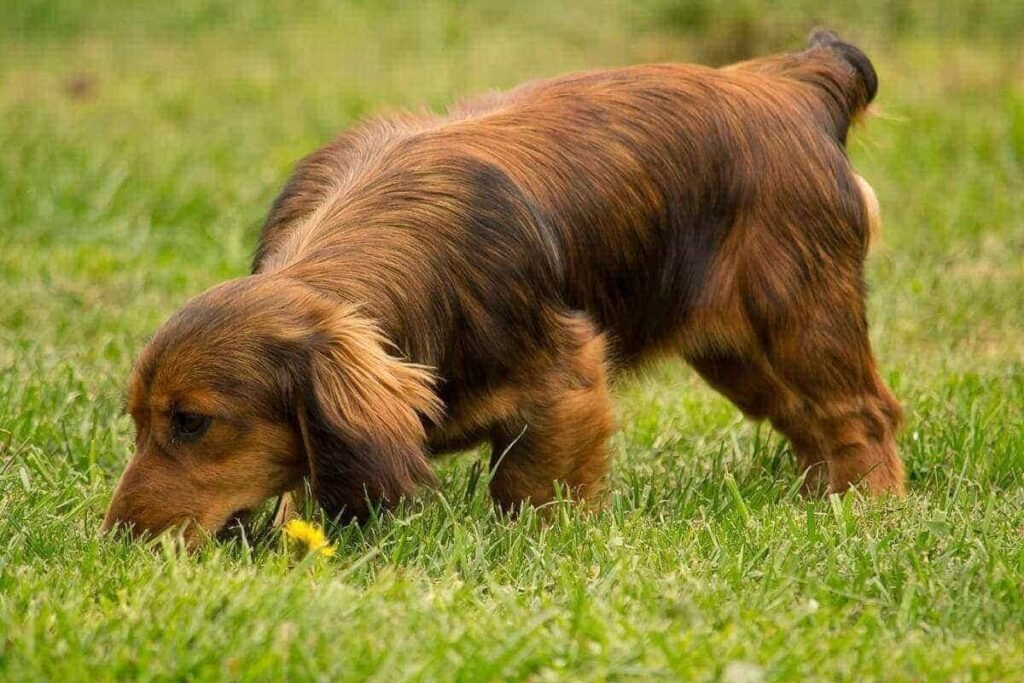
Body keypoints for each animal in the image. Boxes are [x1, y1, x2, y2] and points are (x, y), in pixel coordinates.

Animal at [101, 29, 905, 548]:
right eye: (137, 420)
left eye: (193, 422)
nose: (116, 542)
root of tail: (795, 80)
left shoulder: (565, 382)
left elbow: (525, 489)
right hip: (737, 355)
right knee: (810, 424)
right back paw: (814, 504)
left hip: (799, 318)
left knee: (865, 414)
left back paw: (869, 512)